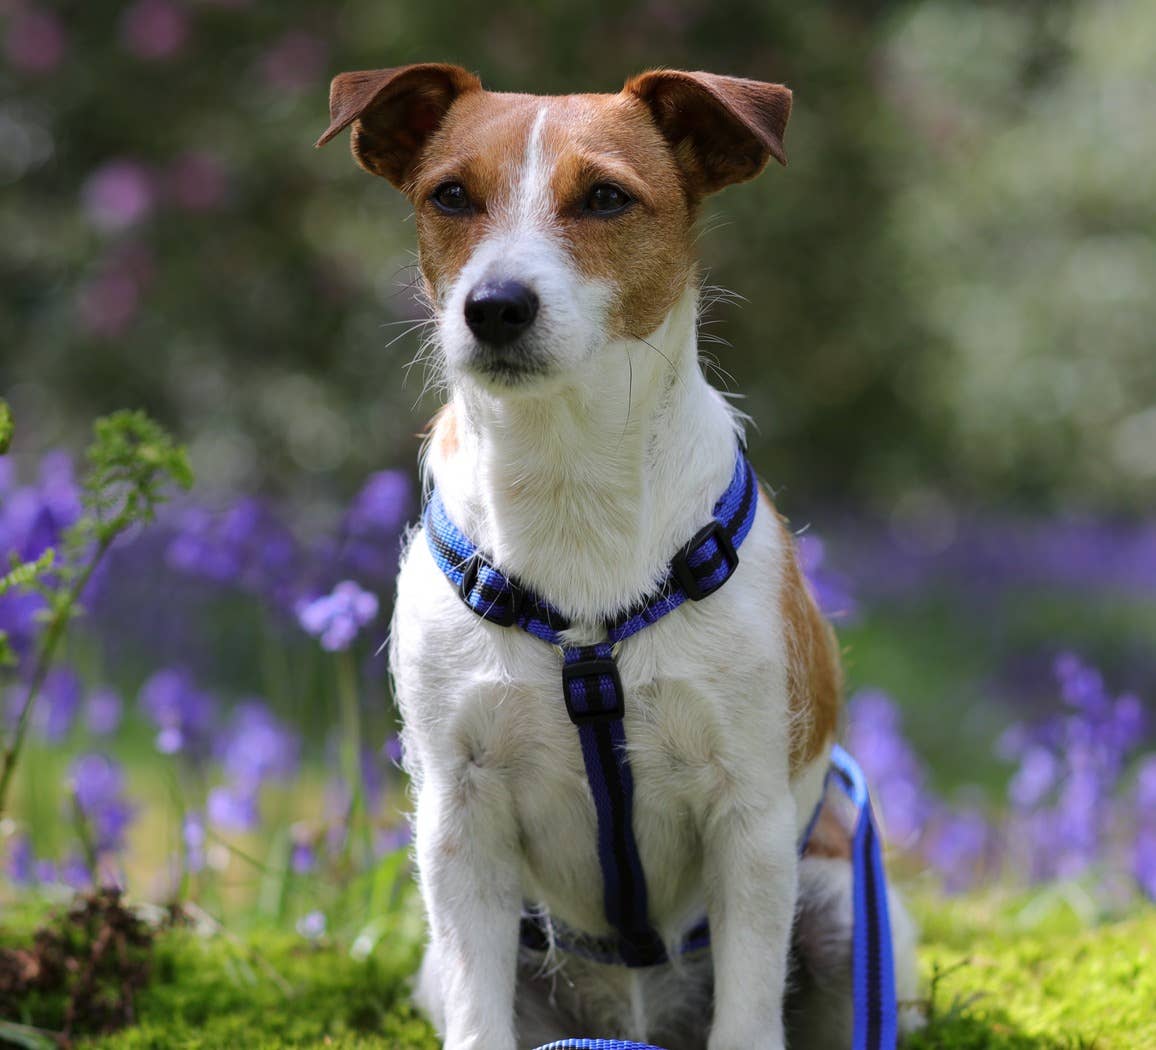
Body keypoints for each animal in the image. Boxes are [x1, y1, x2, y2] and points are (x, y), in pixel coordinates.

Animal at [318, 64, 921, 1050]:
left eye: (605, 197)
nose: (495, 306)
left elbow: (748, 1013)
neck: (571, 491)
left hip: (842, 910)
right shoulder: (458, 819)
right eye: (450, 194)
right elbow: (478, 1016)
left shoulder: (750, 821)